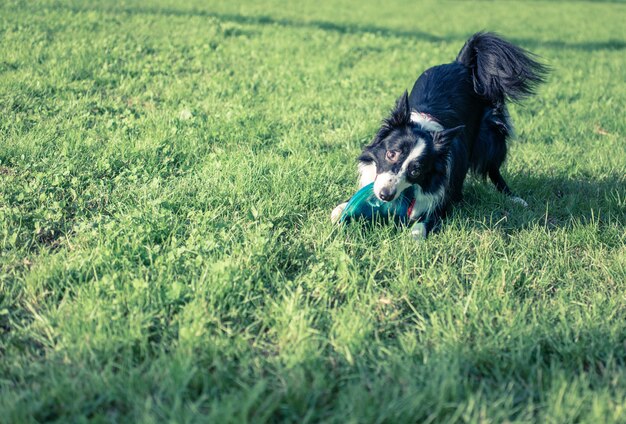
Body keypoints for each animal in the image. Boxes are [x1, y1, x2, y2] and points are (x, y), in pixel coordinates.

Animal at [332, 32, 544, 238]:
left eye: (416, 171)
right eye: (391, 154)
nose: (385, 195)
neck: (424, 127)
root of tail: (460, 64)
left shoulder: (442, 197)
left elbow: (427, 219)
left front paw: (414, 235)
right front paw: (340, 209)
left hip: (490, 137)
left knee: (493, 168)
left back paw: (514, 198)